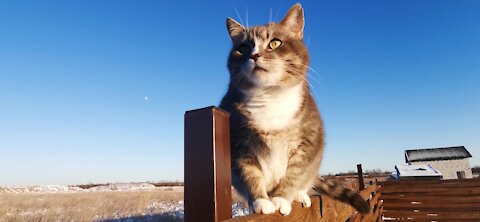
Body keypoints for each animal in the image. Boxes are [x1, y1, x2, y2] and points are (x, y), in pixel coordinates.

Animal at [219, 3, 370, 215]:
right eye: (243, 47)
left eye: (275, 43)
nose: (254, 55)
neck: (270, 96)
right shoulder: (239, 142)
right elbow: (250, 173)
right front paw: (260, 201)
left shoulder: (307, 141)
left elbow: (294, 173)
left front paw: (280, 199)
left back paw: (300, 195)